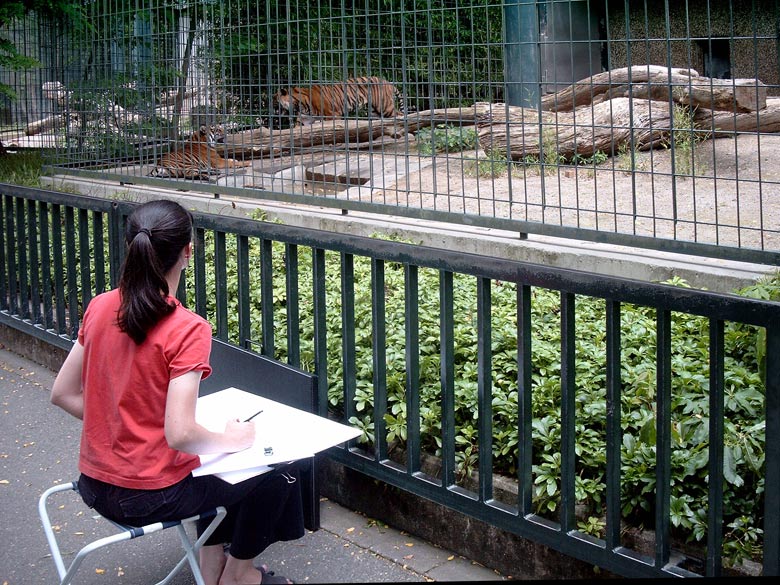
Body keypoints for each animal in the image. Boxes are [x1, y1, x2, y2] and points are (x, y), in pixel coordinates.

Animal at [272, 75, 402, 125]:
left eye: (275, 101)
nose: (272, 112)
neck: (299, 105)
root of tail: (388, 82)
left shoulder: (332, 115)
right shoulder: (305, 119)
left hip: (385, 106)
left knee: (399, 114)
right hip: (374, 112)